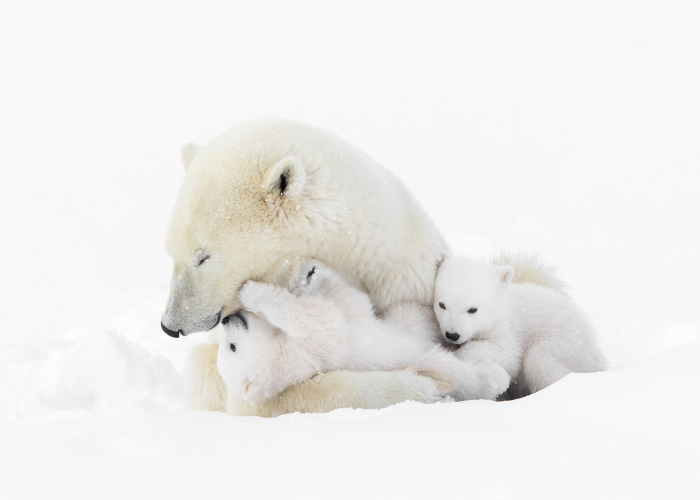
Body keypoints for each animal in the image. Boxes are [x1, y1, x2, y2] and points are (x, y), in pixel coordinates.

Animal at [217, 260, 509, 404]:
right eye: (231, 347)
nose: (228, 319)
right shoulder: (316, 349)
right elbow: (322, 319)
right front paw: (252, 292)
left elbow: (351, 303)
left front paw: (313, 274)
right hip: (432, 365)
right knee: (453, 370)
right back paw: (495, 378)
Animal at [433, 255, 607, 399]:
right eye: (442, 304)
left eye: (472, 309)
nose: (452, 334)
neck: (500, 311)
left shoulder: (507, 330)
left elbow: (507, 354)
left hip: (565, 342)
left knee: (540, 361)